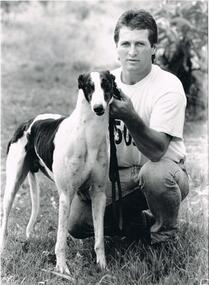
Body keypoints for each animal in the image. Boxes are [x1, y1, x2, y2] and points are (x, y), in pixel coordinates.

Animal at [0, 70, 118, 272]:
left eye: (106, 84)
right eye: (89, 87)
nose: (98, 108)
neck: (88, 134)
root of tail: (27, 123)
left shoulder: (98, 194)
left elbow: (99, 237)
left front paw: (102, 265)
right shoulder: (65, 195)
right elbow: (61, 239)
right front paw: (62, 269)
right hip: (13, 184)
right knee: (5, 218)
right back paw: (3, 251)